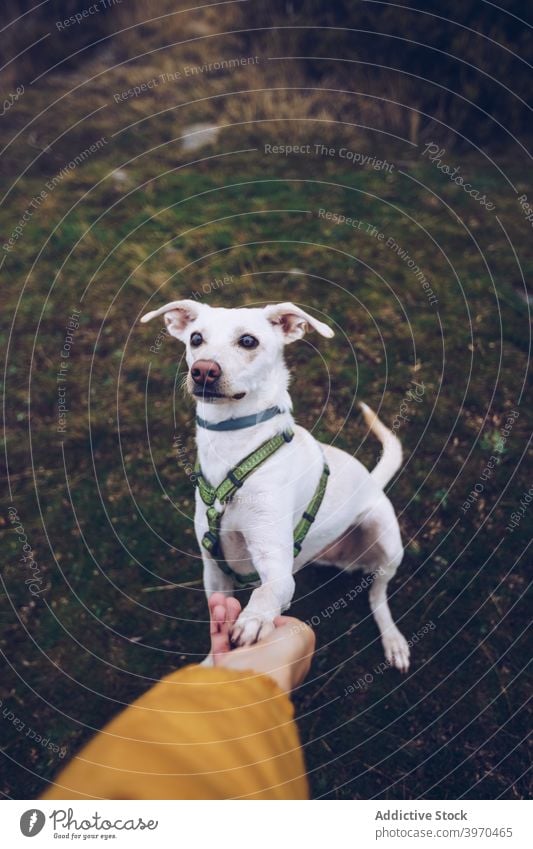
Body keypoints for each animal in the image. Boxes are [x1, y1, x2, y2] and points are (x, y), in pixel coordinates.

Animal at [139, 302, 410, 672]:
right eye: (195, 338)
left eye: (248, 341)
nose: (203, 370)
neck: (234, 447)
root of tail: (373, 481)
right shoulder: (214, 570)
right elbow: (216, 626)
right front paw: (212, 666)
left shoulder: (276, 564)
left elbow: (266, 592)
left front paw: (254, 620)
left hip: (388, 541)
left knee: (377, 594)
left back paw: (393, 639)